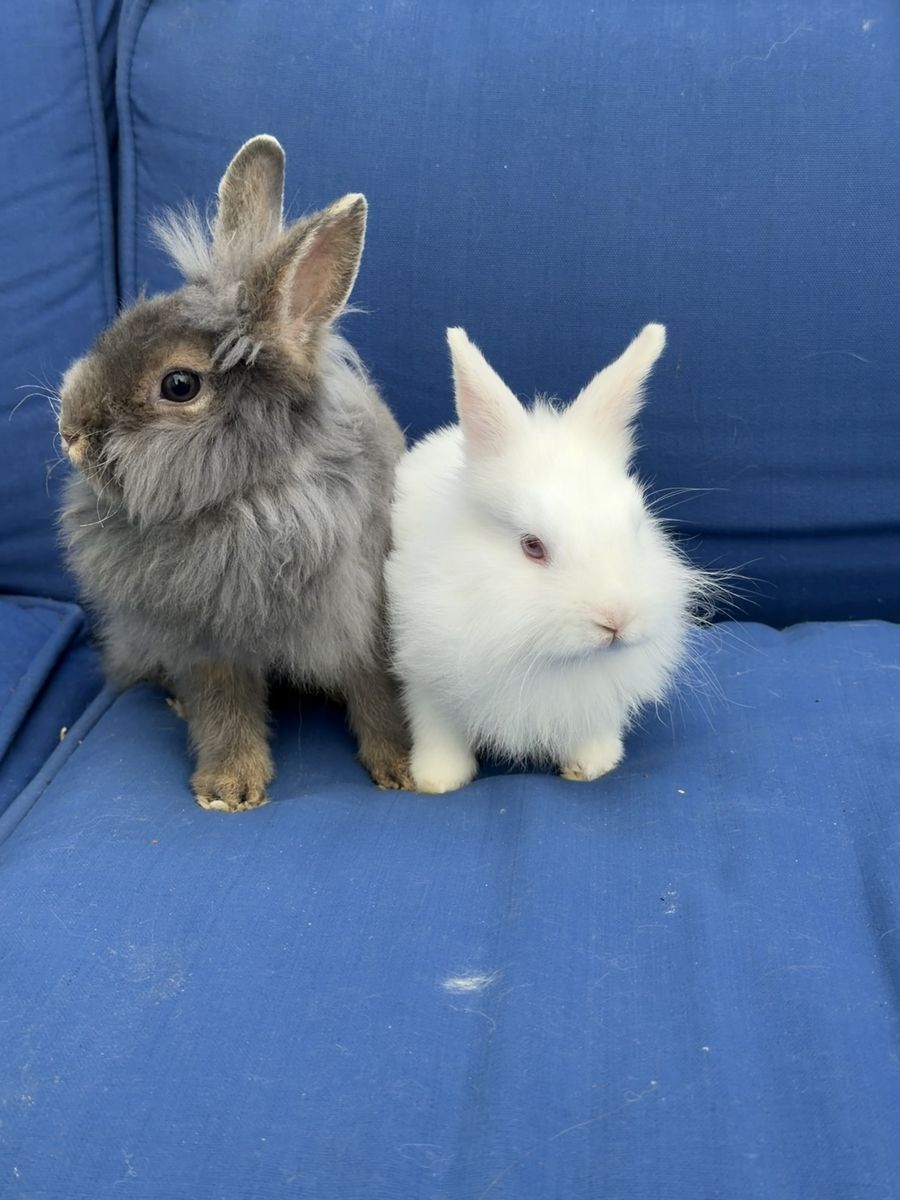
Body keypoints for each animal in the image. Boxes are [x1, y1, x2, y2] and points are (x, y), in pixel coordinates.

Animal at [58, 134, 412, 810]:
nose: (69, 433)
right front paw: (228, 788)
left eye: (179, 385)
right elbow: (224, 713)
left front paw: (403, 768)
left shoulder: (366, 621)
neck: (249, 498)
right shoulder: (206, 642)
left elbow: (380, 696)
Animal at [385, 322, 712, 793]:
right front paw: (439, 779)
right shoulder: (426, 674)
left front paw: (593, 764)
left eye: (635, 526)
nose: (616, 620)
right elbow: (438, 731)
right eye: (532, 546)